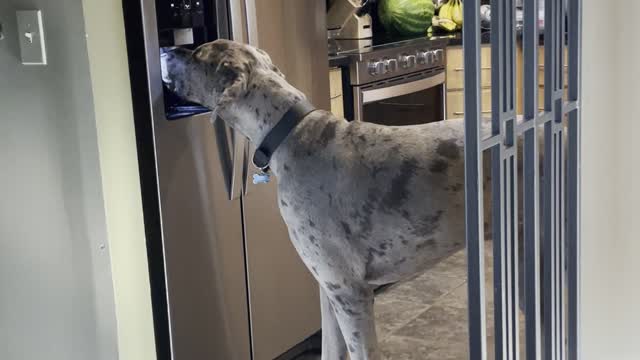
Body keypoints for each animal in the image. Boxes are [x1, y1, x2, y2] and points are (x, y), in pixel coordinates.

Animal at [160, 39, 496, 360]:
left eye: (199, 53)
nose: (165, 49)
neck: (292, 133)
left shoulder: (349, 292)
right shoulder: (328, 289)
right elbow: (329, 350)